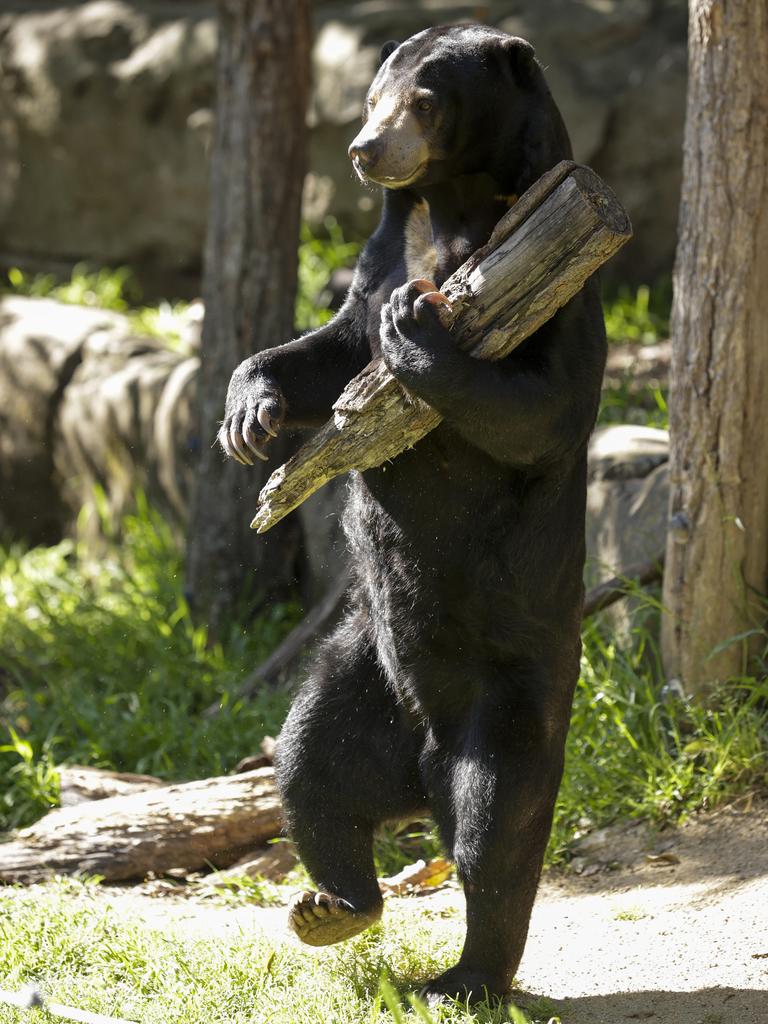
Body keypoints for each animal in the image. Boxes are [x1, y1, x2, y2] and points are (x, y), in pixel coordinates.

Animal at [219, 25, 610, 1007]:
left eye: (424, 103)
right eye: (368, 98)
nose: (365, 151)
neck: (449, 208)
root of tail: (421, 769)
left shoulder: (560, 275)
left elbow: (539, 405)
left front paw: (419, 331)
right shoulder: (382, 252)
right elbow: (331, 348)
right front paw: (249, 415)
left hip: (518, 686)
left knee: (494, 833)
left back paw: (466, 976)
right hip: (361, 667)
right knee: (309, 767)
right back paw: (334, 905)